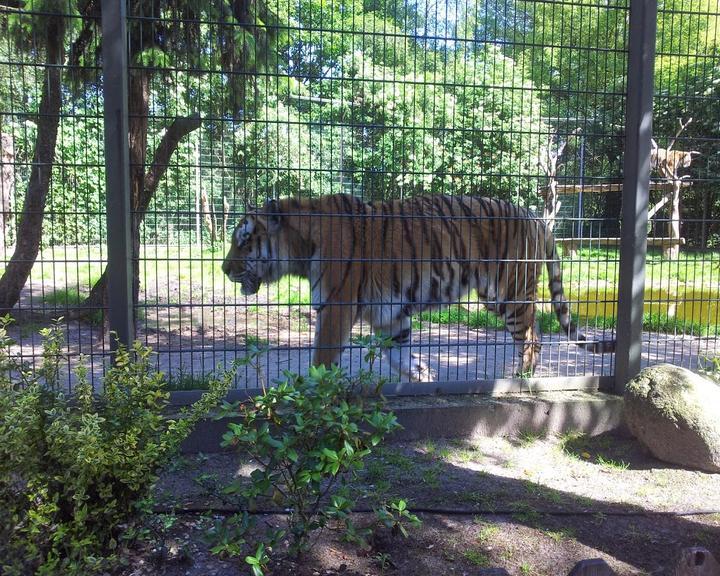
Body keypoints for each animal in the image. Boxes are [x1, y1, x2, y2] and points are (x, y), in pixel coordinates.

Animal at [221, 195, 612, 382]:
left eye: (243, 241)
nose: (224, 270)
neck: (300, 248)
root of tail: (537, 219)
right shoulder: (390, 315)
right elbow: (397, 355)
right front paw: (423, 374)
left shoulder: (336, 307)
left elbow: (321, 358)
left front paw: (310, 394)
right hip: (495, 296)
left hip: (510, 292)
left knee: (532, 337)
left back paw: (520, 377)